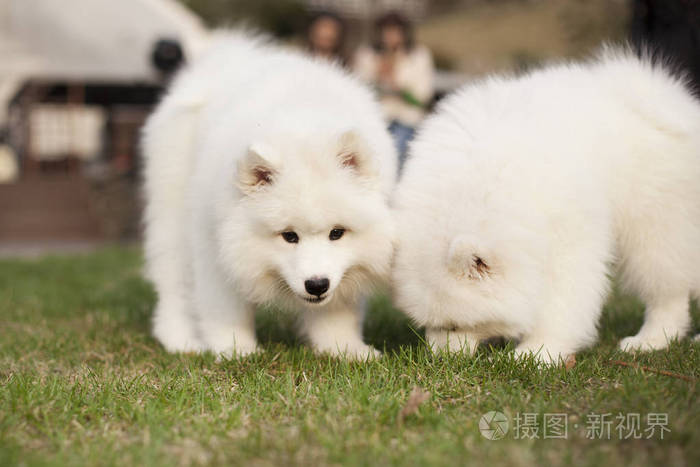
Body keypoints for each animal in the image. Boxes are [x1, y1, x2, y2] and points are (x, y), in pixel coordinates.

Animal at [142, 33, 396, 358]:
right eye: (289, 236)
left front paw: (345, 350)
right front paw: (235, 350)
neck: (303, 125)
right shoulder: (215, 244)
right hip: (172, 211)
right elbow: (224, 308)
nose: (317, 285)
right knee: (173, 282)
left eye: (337, 233)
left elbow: (336, 311)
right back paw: (181, 341)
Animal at [394, 51, 700, 364]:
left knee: (667, 287)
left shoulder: (569, 236)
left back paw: (651, 339)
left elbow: (562, 301)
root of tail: (667, 95)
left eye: (455, 325)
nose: (439, 360)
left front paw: (536, 354)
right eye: (427, 324)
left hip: (656, 221)